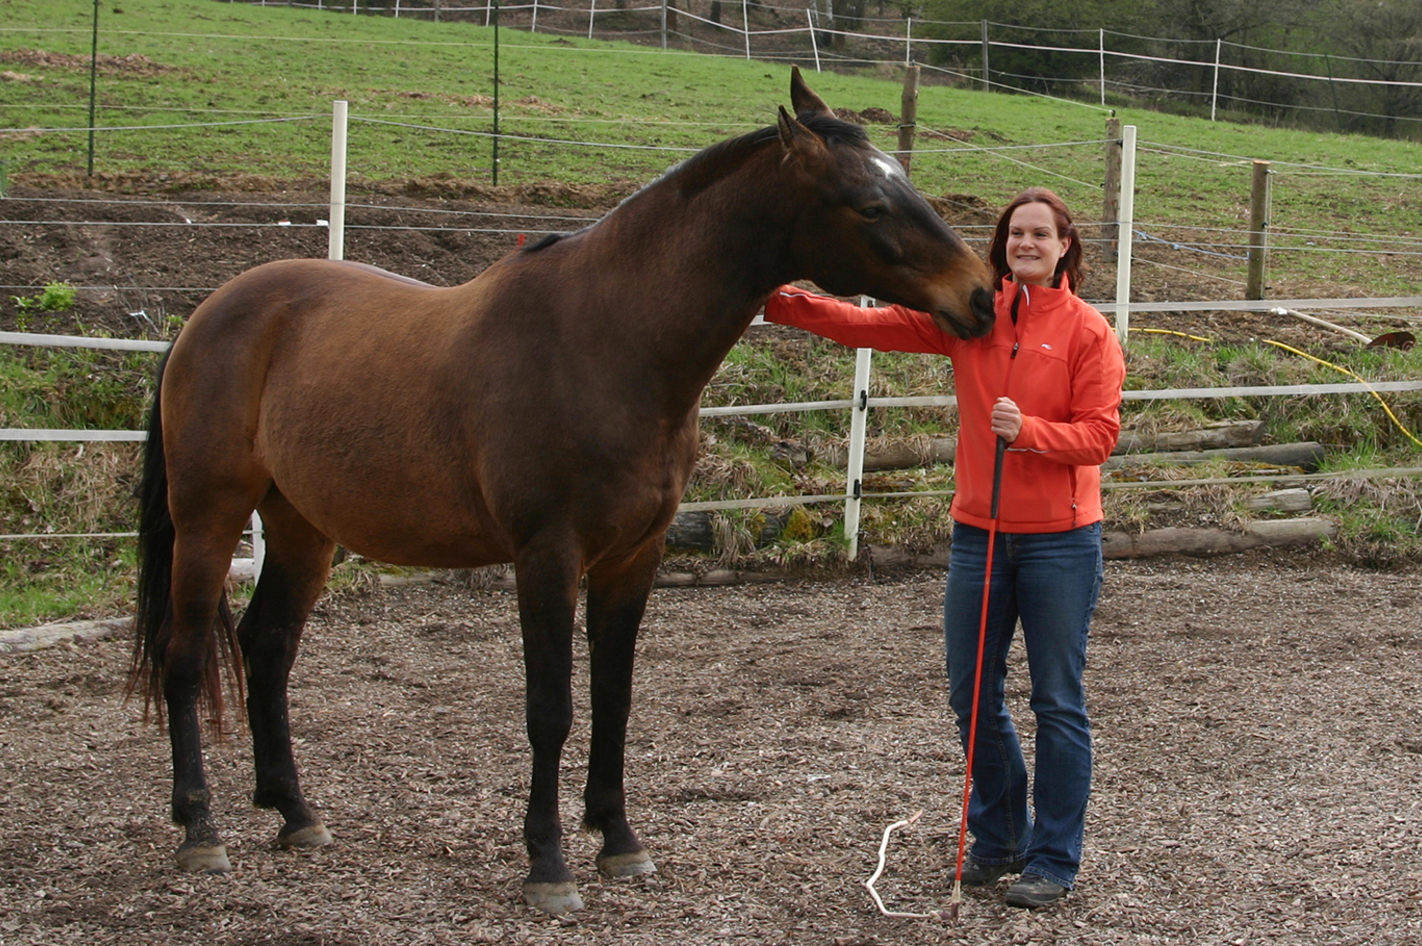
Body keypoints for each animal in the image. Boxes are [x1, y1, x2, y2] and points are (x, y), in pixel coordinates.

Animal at [130, 68, 989, 916]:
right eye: (870, 203)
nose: (980, 294)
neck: (606, 341)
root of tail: (208, 313)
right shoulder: (547, 556)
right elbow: (551, 708)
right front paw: (547, 861)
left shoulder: (632, 559)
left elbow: (613, 697)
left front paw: (618, 839)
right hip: (208, 517)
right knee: (184, 655)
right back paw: (199, 828)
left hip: (303, 530)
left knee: (267, 647)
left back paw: (294, 814)